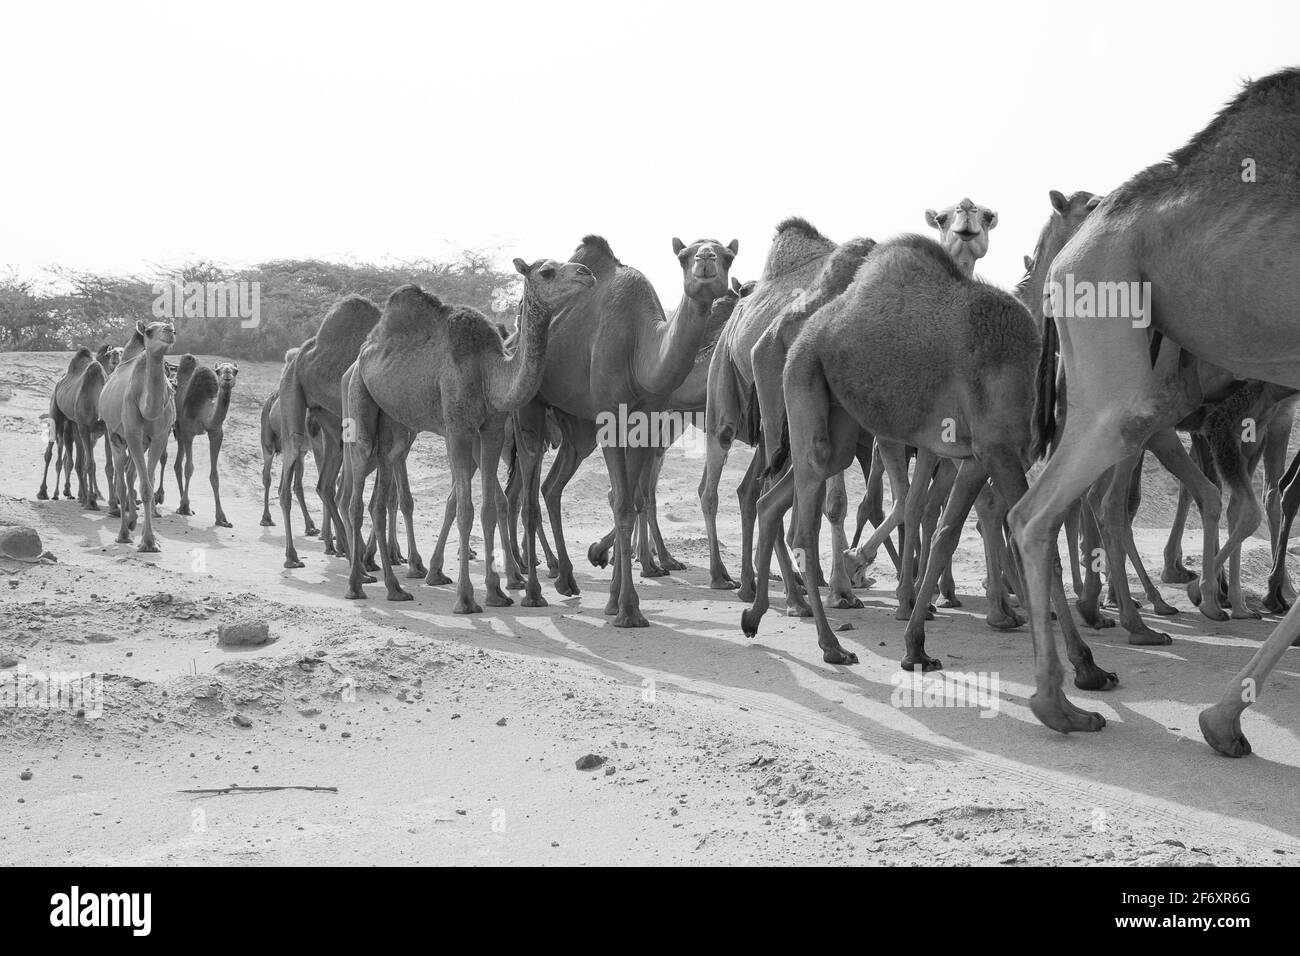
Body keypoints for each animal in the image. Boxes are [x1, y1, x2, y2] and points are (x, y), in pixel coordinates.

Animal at [97, 319, 175, 554]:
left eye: (172, 327)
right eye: (149, 331)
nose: (169, 330)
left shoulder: (159, 437)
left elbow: (146, 483)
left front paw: (150, 540)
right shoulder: (131, 433)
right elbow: (143, 486)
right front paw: (147, 542)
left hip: (142, 442)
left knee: (131, 474)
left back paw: (132, 522)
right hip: (115, 437)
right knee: (122, 481)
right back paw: (124, 533)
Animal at [170, 356, 239, 528]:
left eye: (235, 370)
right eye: (218, 371)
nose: (227, 377)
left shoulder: (216, 433)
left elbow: (214, 475)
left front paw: (221, 518)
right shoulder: (189, 432)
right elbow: (189, 468)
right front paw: (185, 507)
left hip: (179, 432)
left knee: (177, 464)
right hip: (178, 428)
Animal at [340, 257, 595, 608]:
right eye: (546, 272)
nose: (587, 273)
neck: (489, 372)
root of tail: (362, 354)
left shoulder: (491, 430)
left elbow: (489, 508)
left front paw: (496, 593)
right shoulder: (458, 429)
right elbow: (465, 510)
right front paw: (465, 598)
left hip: (395, 428)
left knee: (379, 497)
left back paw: (395, 589)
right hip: (360, 403)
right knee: (355, 493)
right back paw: (356, 584)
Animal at [512, 234, 738, 616]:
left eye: (727, 256)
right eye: (683, 256)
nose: (705, 260)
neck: (639, 348)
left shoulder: (646, 424)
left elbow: (631, 500)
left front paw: (618, 593)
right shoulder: (612, 420)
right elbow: (622, 501)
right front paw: (629, 606)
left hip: (578, 429)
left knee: (551, 488)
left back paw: (565, 577)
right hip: (529, 410)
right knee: (525, 497)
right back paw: (531, 588)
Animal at [1008, 69, 1300, 754]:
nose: (1094, 202)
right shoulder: (1217, 419)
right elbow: (1225, 502)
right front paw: (1207, 600)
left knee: (1076, 505)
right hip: (1124, 375)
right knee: (1047, 509)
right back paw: (1077, 676)